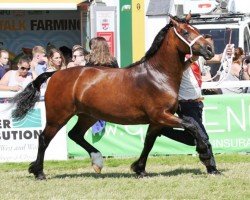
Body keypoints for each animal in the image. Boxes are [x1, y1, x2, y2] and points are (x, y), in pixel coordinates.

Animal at [11, 14, 214, 179]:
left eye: (197, 30)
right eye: (186, 32)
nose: (210, 49)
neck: (158, 75)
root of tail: (55, 73)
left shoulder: (157, 121)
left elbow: (149, 142)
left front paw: (139, 168)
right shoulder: (161, 115)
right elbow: (192, 125)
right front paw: (205, 155)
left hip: (88, 116)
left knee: (75, 134)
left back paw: (97, 161)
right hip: (58, 116)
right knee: (44, 139)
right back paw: (38, 172)